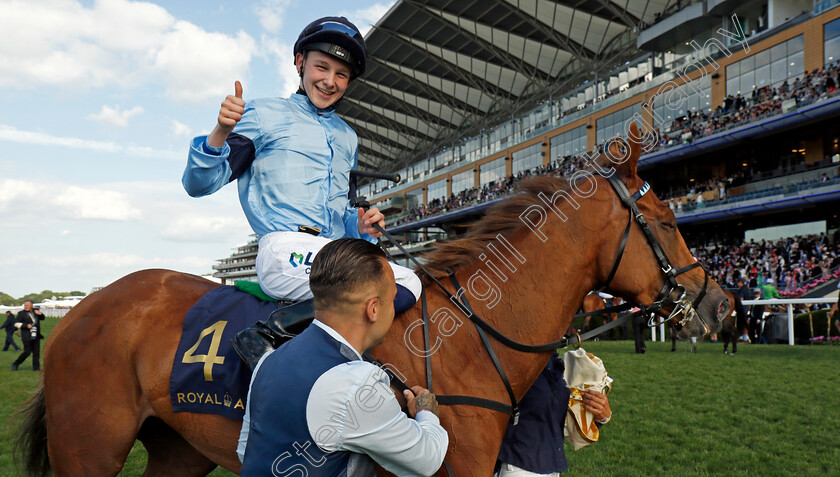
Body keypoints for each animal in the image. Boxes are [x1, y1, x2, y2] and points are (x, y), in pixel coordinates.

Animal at [18, 124, 728, 474]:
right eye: (667, 220)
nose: (719, 303)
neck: (472, 340)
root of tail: (86, 305)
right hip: (90, 449)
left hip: (179, 448)